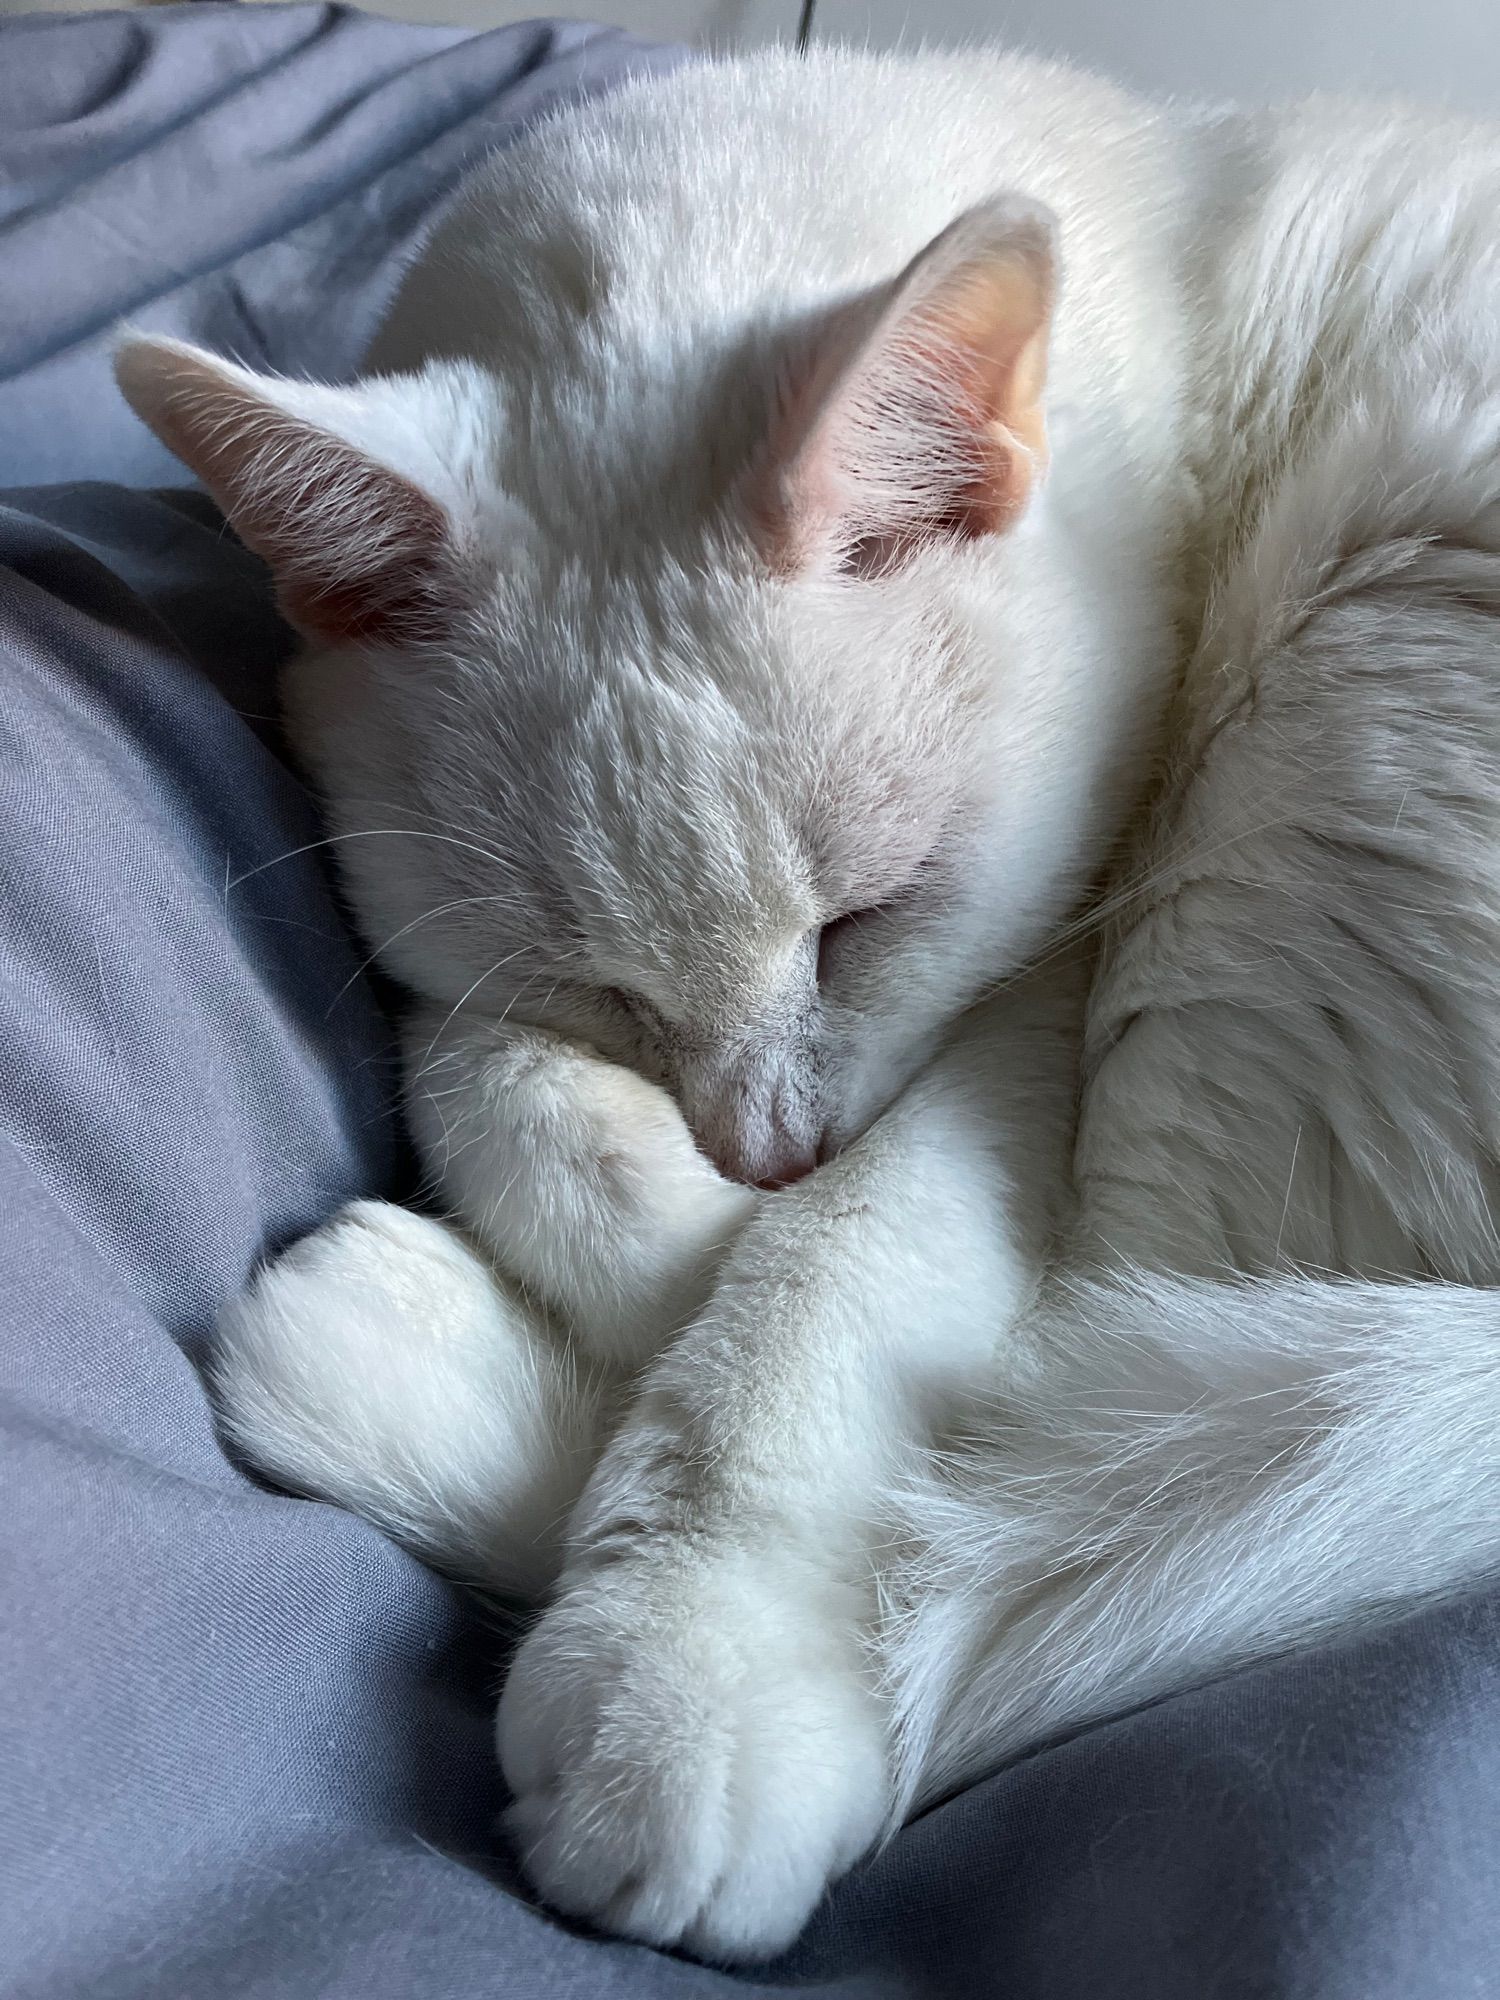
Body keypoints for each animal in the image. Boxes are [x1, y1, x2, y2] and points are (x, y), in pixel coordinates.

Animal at [117, 50, 1500, 1968]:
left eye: (861, 926)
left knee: (1079, 1464)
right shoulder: (476, 982)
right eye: (605, 982)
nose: (763, 1149)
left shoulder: (1042, 984)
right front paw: (655, 1225)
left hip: (1329, 719)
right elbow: (490, 1073)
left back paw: (375, 1343)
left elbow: (825, 1292)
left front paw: (685, 1672)